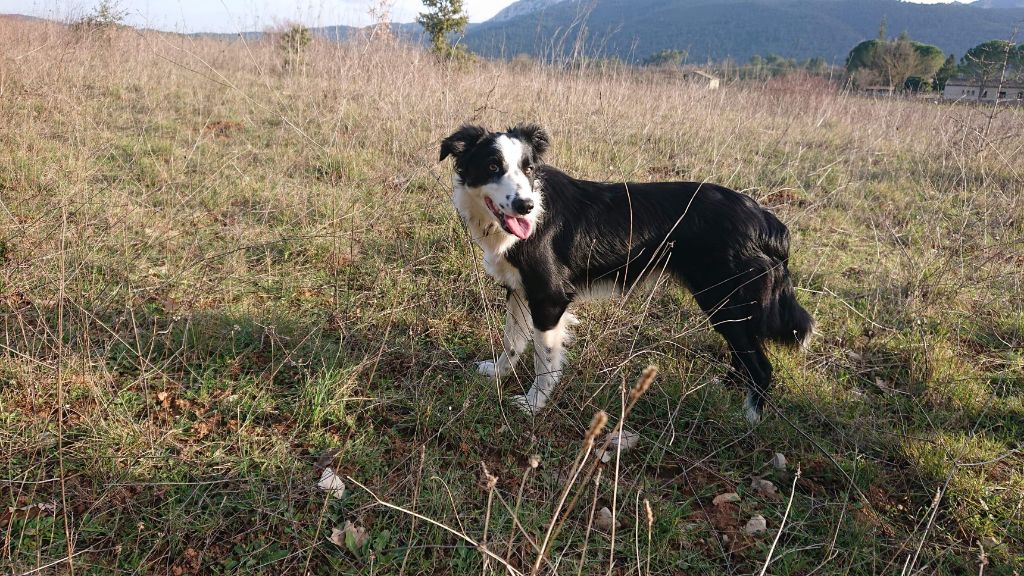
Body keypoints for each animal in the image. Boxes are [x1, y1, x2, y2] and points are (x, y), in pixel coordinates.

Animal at [440, 123, 815, 422]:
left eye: (528, 168)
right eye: (492, 166)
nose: (525, 206)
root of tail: (766, 219)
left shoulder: (549, 296)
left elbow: (544, 359)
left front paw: (534, 404)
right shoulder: (519, 288)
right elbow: (513, 341)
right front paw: (498, 373)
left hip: (723, 299)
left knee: (760, 365)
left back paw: (748, 420)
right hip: (728, 306)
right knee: (744, 355)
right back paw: (726, 389)